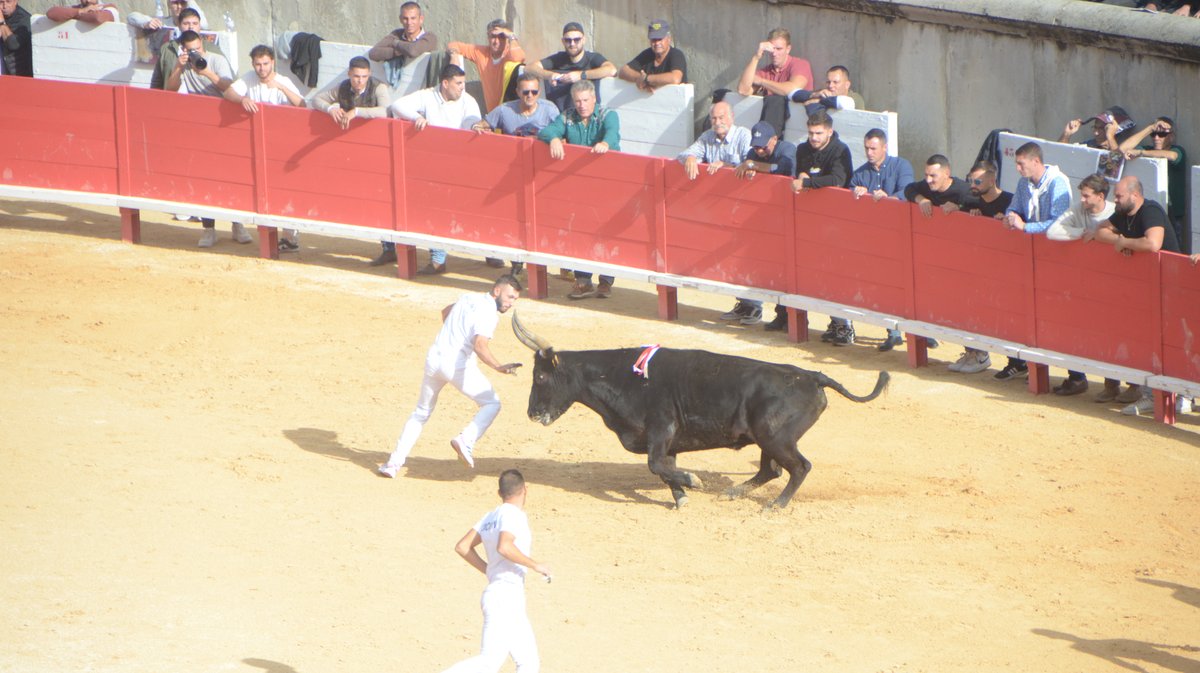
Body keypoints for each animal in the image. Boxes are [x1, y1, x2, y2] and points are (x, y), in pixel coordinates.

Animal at [511, 314, 888, 508]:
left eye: (540, 376)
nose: (531, 413)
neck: (623, 376)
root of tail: (812, 376)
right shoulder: (666, 440)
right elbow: (663, 468)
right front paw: (681, 497)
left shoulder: (661, 429)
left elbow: (655, 465)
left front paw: (692, 481)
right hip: (766, 438)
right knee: (772, 470)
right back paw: (732, 492)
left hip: (775, 436)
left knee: (799, 467)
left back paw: (776, 505)